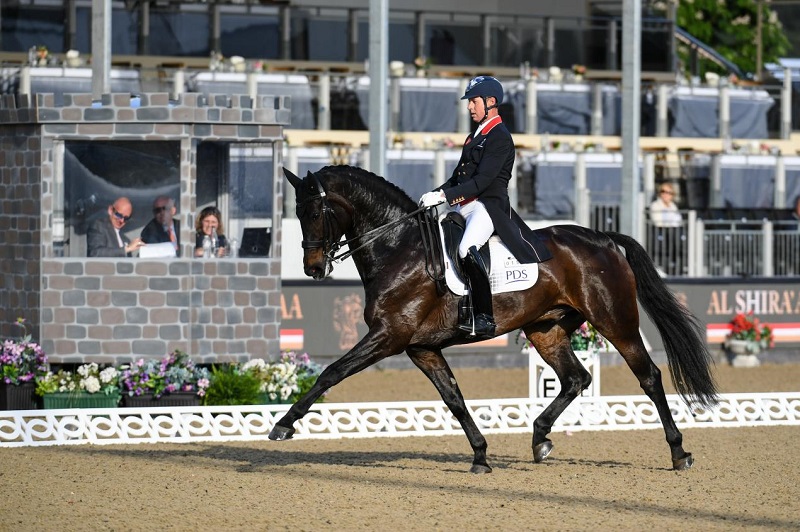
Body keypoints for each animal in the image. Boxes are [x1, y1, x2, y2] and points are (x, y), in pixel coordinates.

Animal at [270, 164, 720, 472]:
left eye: (316, 212)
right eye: (298, 212)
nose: (313, 268)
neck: (399, 247)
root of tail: (604, 238)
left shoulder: (388, 337)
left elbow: (331, 372)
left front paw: (283, 425)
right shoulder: (422, 347)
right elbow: (453, 398)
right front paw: (481, 456)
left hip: (615, 321)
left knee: (649, 377)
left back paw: (679, 452)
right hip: (545, 328)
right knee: (575, 378)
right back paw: (540, 440)